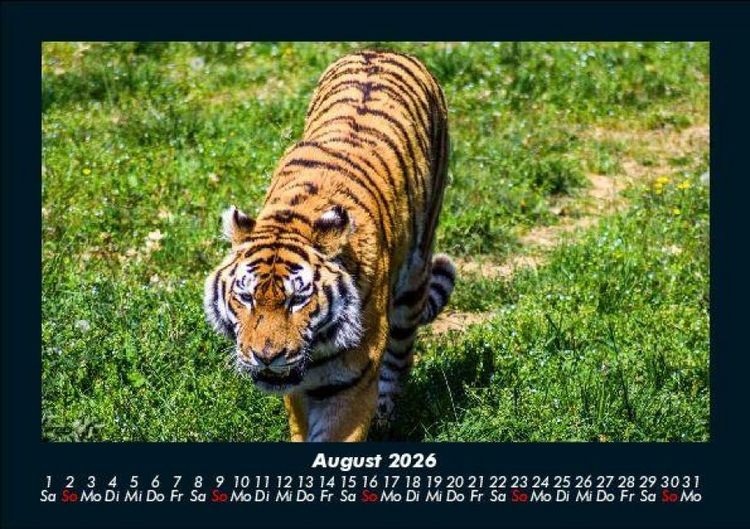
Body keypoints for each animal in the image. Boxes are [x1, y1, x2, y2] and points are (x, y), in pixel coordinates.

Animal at [204, 49, 455, 442]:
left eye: (297, 299)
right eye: (245, 297)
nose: (266, 357)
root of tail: (381, 50)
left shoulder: (351, 380)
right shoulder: (298, 386)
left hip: (414, 277)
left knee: (399, 356)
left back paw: (385, 415)